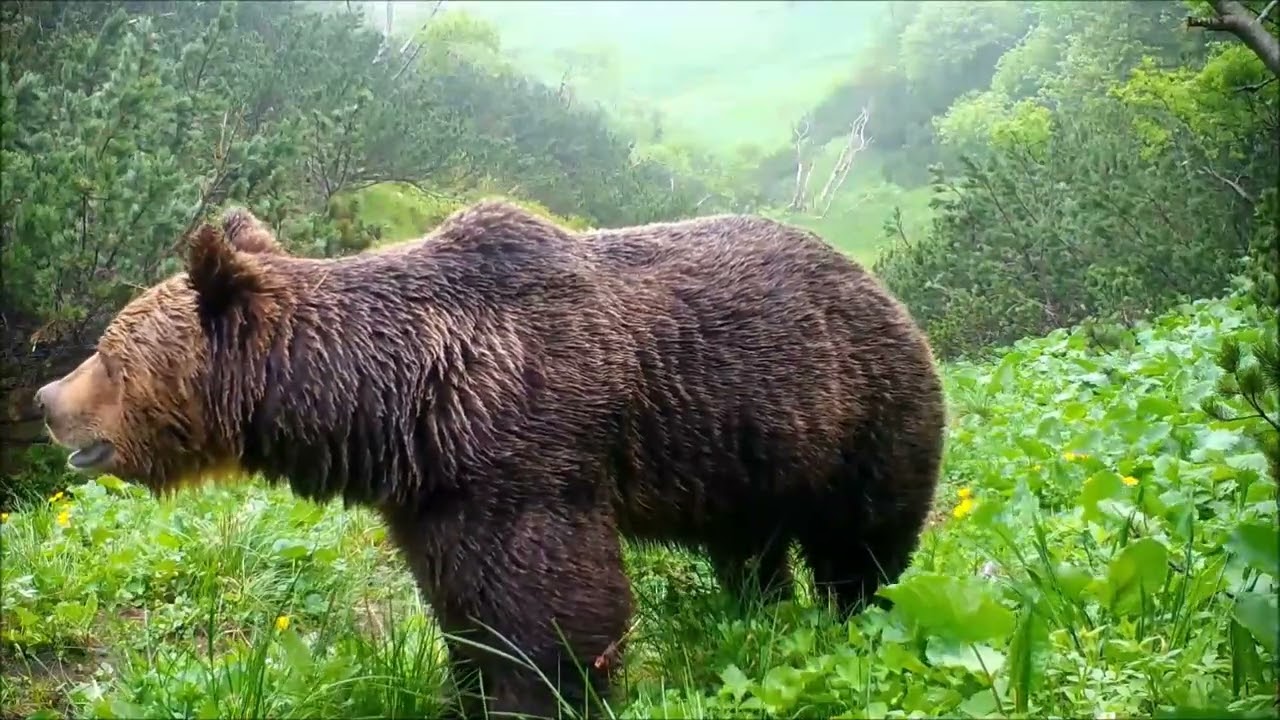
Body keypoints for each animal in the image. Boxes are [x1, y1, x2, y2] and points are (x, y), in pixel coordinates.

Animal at [35, 197, 947, 717]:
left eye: (108, 354)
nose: (45, 400)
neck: (391, 401)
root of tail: (879, 285)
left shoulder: (524, 449)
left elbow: (551, 606)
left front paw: (541, 695)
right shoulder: (438, 492)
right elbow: (464, 606)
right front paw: (468, 686)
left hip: (853, 410)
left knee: (862, 540)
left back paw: (854, 612)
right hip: (748, 452)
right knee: (749, 548)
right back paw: (753, 610)